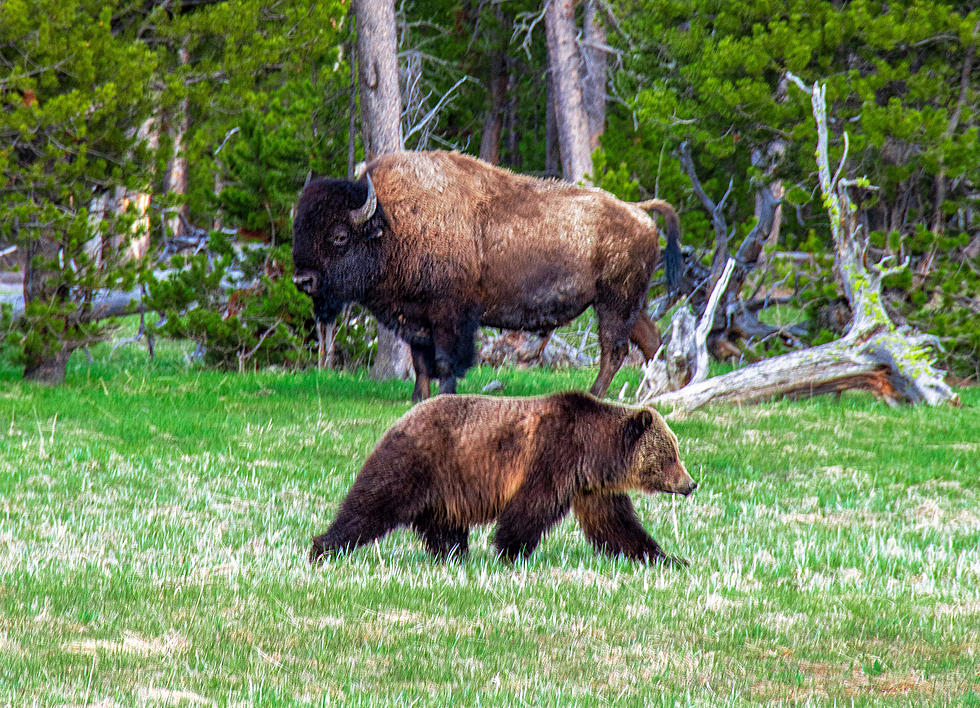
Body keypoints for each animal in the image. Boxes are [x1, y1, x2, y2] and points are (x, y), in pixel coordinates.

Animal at [290, 150, 680, 402]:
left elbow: (446, 360)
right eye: (298, 229)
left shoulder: (449, 315)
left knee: (614, 348)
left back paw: (596, 395)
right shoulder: (414, 317)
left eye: (339, 236)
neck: (393, 223)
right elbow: (420, 362)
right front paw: (418, 398)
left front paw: (444, 396)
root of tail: (638, 211)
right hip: (630, 303)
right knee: (650, 341)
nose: (302, 281)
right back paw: (660, 391)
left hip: (614, 301)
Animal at [308, 392, 696, 564]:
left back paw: (453, 555)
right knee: (372, 503)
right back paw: (323, 547)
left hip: (445, 485)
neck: (594, 449)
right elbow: (531, 507)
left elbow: (616, 524)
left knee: (442, 524)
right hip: (419, 459)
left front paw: (666, 557)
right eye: (671, 455)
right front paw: (511, 551)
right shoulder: (554, 455)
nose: (690, 484)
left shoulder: (592, 486)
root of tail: (403, 417)